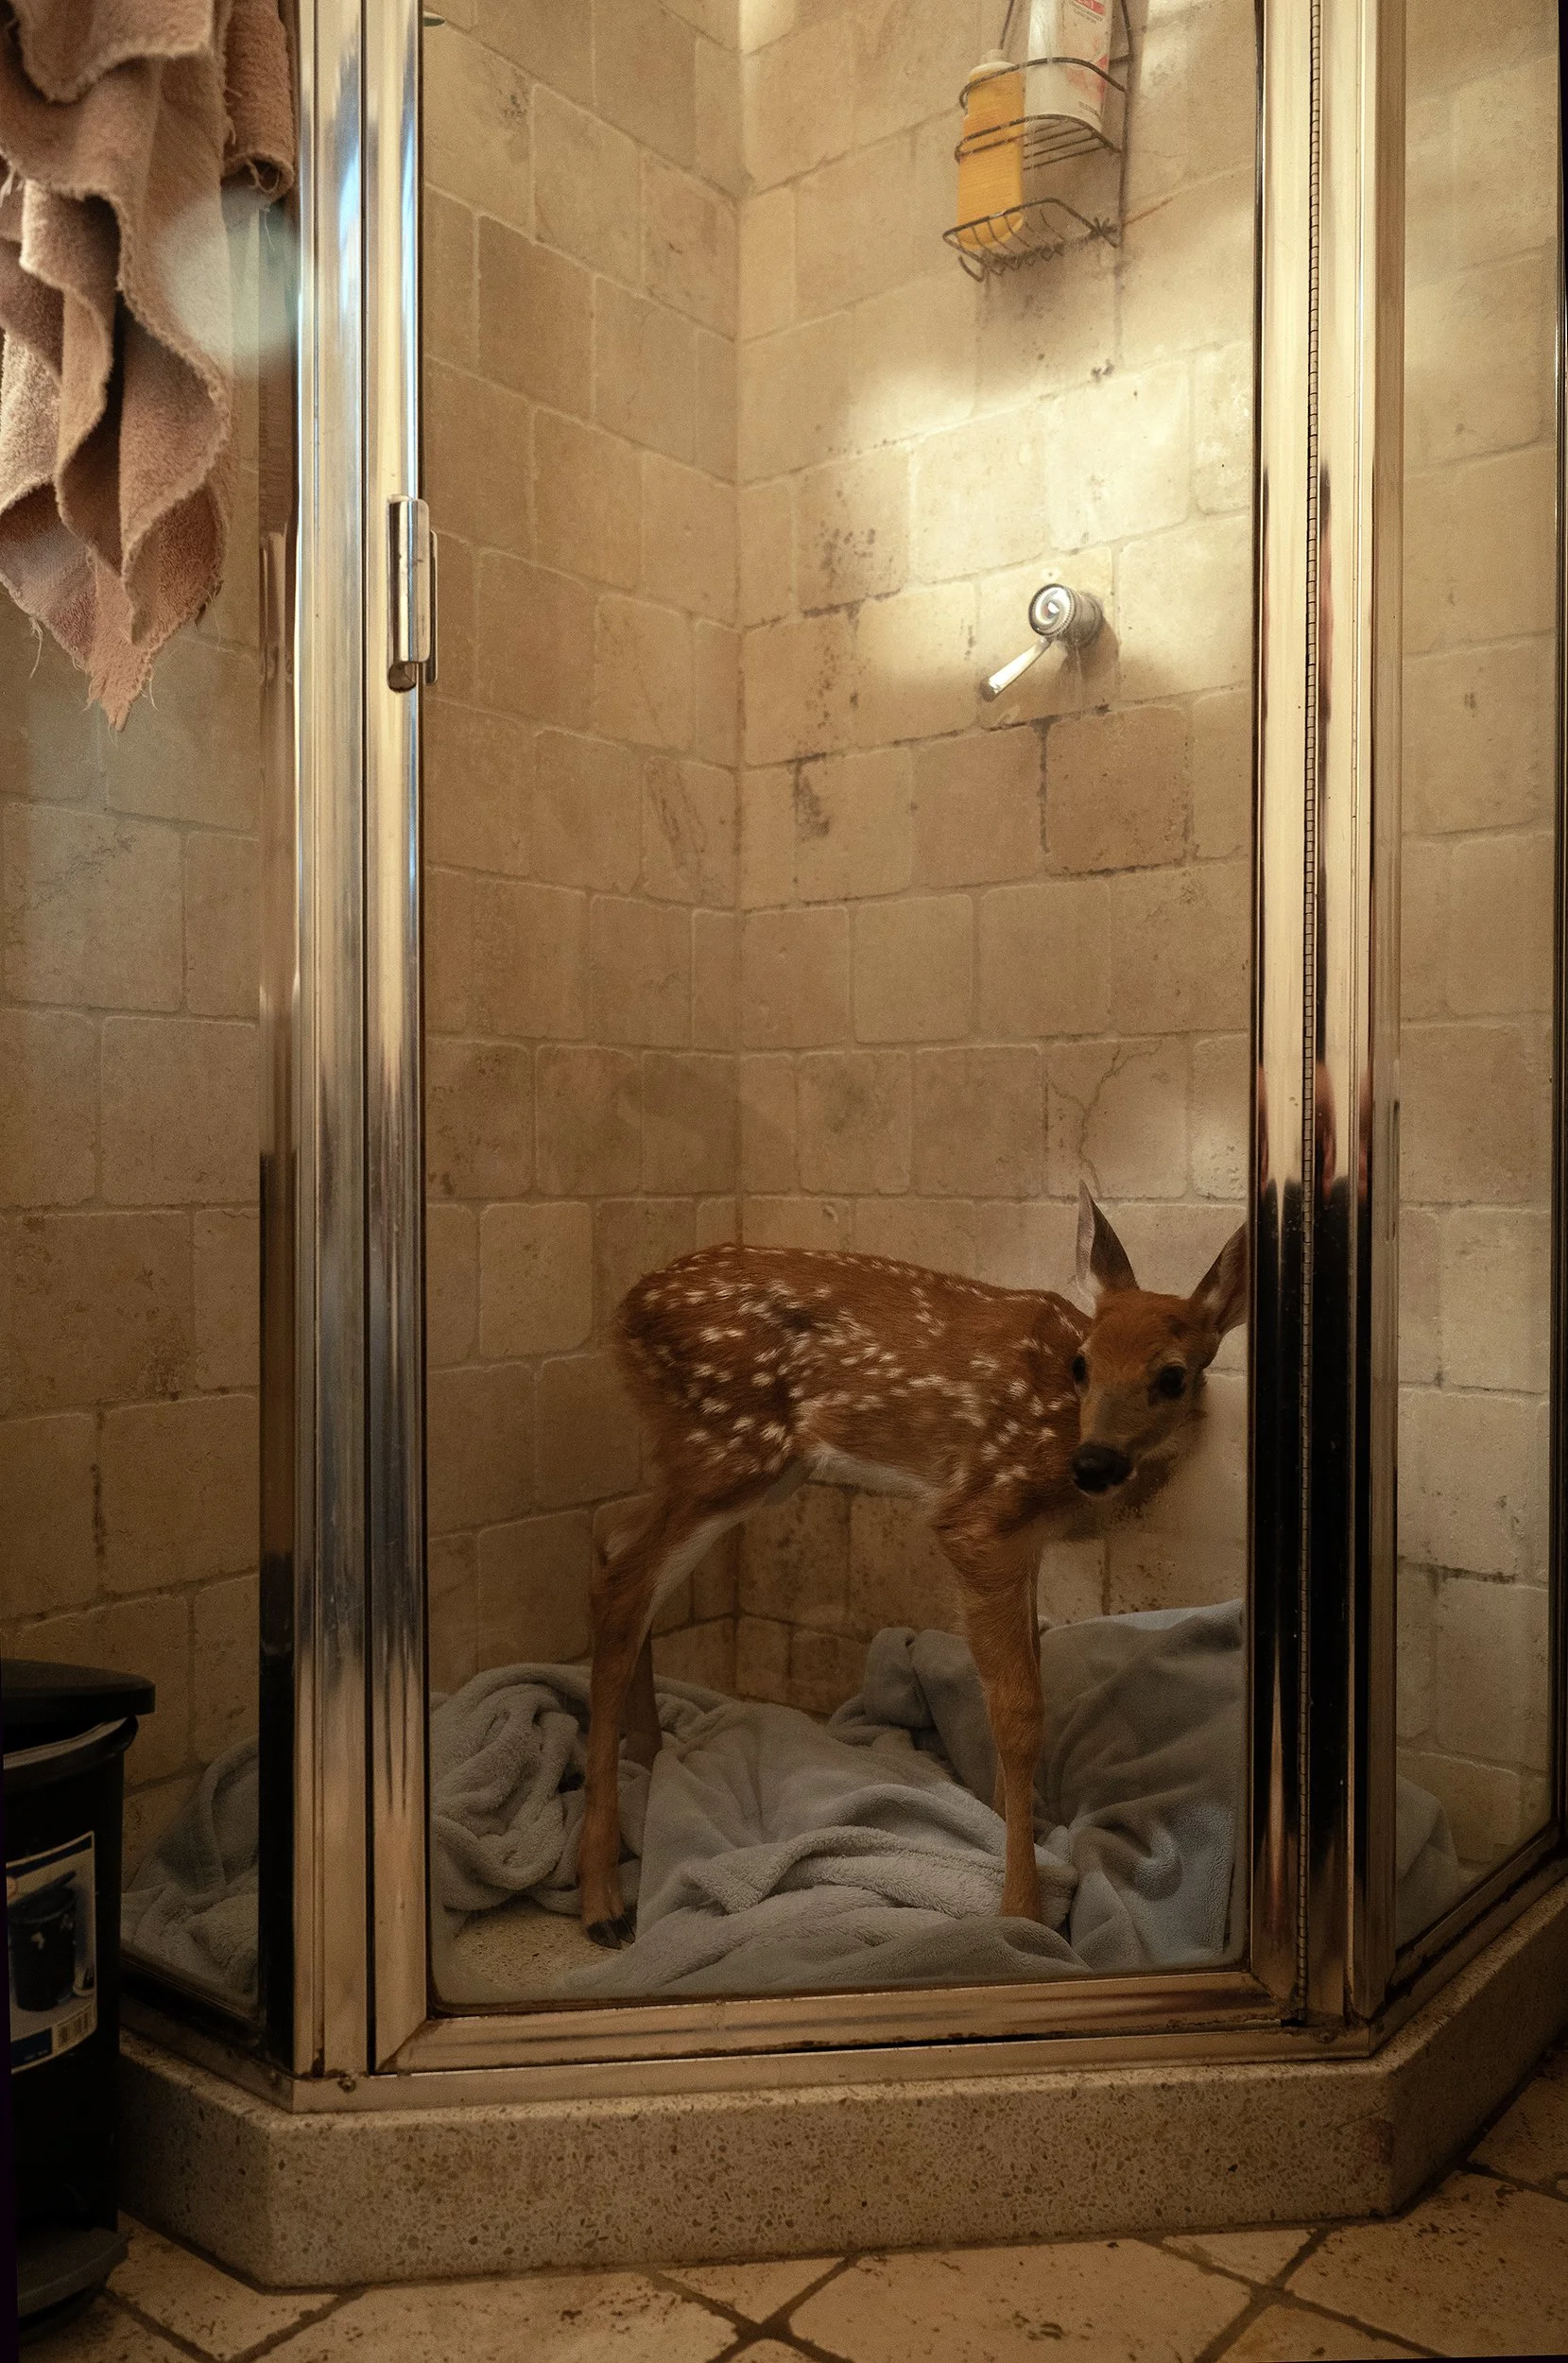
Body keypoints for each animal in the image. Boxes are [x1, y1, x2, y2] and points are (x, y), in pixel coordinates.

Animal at [577, 1187, 1248, 1947]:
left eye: (1172, 1376)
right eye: (1082, 1364)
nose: (1096, 1462)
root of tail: (626, 1310)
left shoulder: (1027, 1546)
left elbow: (1029, 1672)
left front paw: (1012, 1827)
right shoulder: (978, 1518)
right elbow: (1018, 1712)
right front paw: (1020, 1908)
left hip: (729, 1461)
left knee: (611, 1538)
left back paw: (651, 1757)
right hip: (728, 1445)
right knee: (622, 1583)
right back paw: (602, 1899)